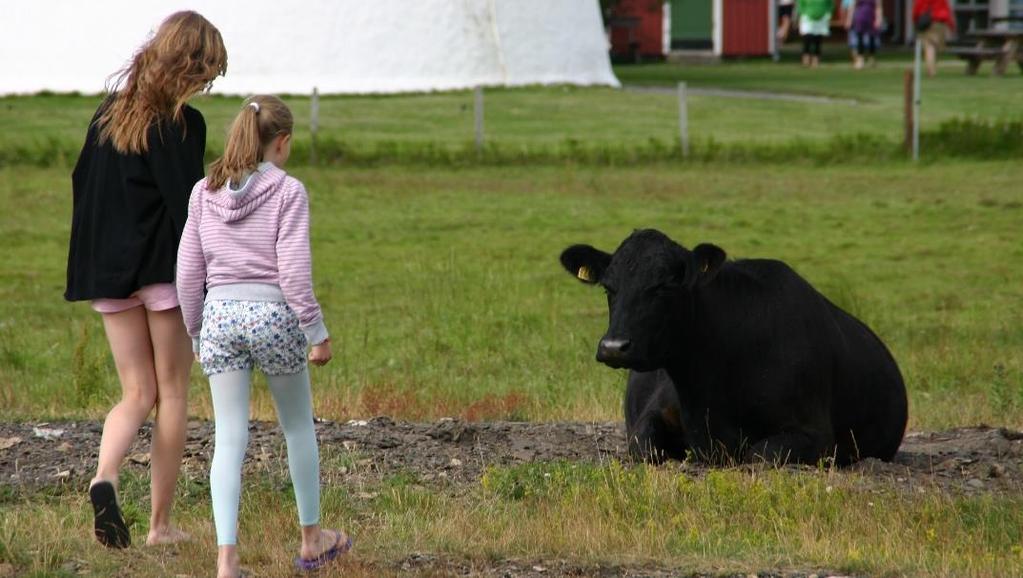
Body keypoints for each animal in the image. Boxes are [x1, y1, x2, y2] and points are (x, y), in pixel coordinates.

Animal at [564, 229, 908, 464]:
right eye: (609, 288)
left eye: (665, 286)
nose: (613, 346)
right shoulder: (653, 415)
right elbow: (647, 448)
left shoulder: (816, 433)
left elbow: (759, 454)